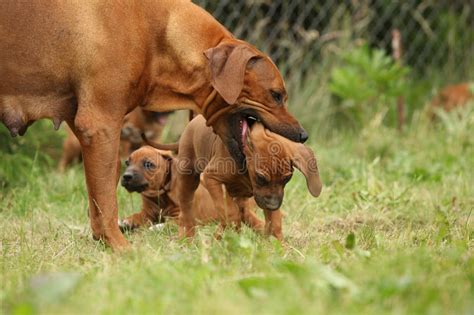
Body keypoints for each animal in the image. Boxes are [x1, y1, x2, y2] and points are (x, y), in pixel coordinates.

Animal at [118, 147, 264, 238]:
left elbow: (167, 224)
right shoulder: (147, 213)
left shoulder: (181, 217)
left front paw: (154, 228)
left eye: (148, 164)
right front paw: (124, 222)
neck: (160, 195)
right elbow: (136, 216)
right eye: (127, 162)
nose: (126, 176)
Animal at [147, 115, 322, 239]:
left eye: (287, 179)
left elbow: (274, 224)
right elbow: (231, 215)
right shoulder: (211, 178)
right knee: (188, 212)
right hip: (188, 180)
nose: (273, 206)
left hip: (240, 198)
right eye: (260, 178)